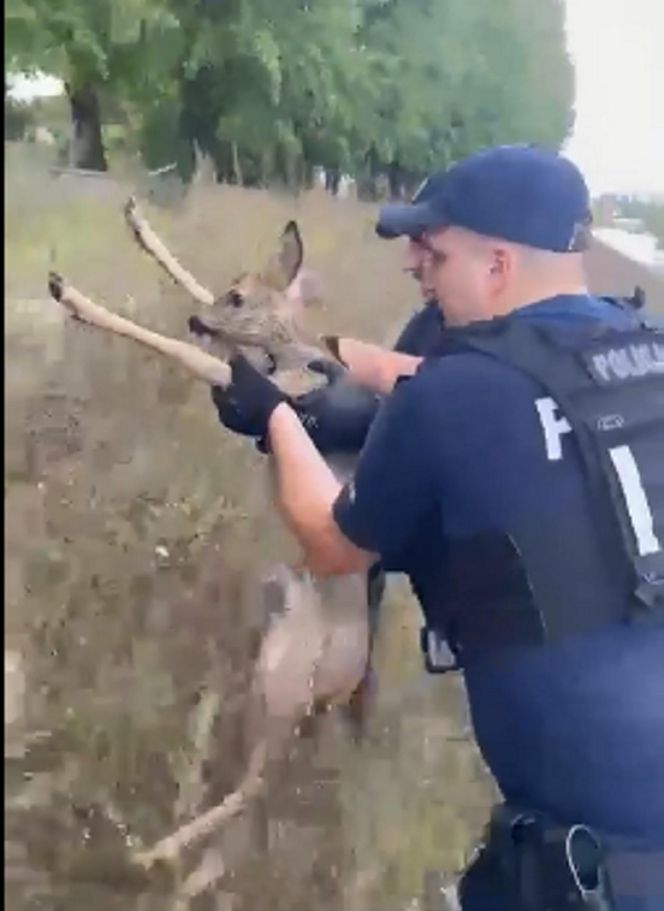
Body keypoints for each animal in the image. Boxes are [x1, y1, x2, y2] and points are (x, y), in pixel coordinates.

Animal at [44, 200, 382, 892]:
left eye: (240, 296)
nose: (205, 321)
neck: (279, 349)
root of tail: (345, 680)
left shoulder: (237, 376)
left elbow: (175, 348)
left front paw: (77, 299)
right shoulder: (237, 362)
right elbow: (186, 281)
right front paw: (139, 226)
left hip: (283, 682)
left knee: (256, 787)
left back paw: (154, 855)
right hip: (270, 670)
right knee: (252, 793)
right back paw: (191, 865)